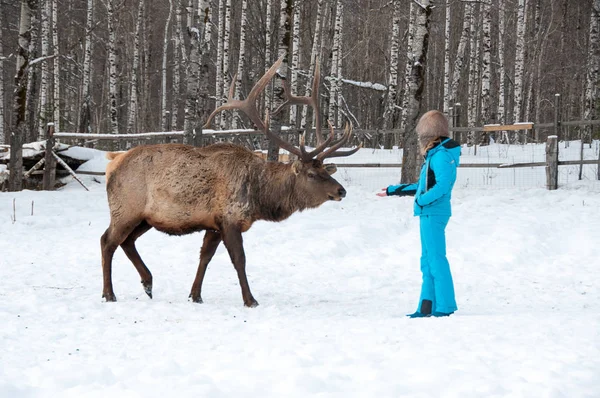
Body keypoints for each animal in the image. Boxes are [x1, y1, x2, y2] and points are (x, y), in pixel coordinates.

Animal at [101, 56, 360, 306]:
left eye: (326, 170)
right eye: (311, 174)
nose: (341, 191)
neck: (259, 199)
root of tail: (112, 163)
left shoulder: (214, 224)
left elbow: (205, 257)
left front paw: (195, 295)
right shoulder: (230, 219)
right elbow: (239, 259)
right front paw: (250, 299)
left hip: (144, 218)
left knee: (126, 242)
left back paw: (148, 283)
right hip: (125, 209)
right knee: (107, 241)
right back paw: (109, 294)